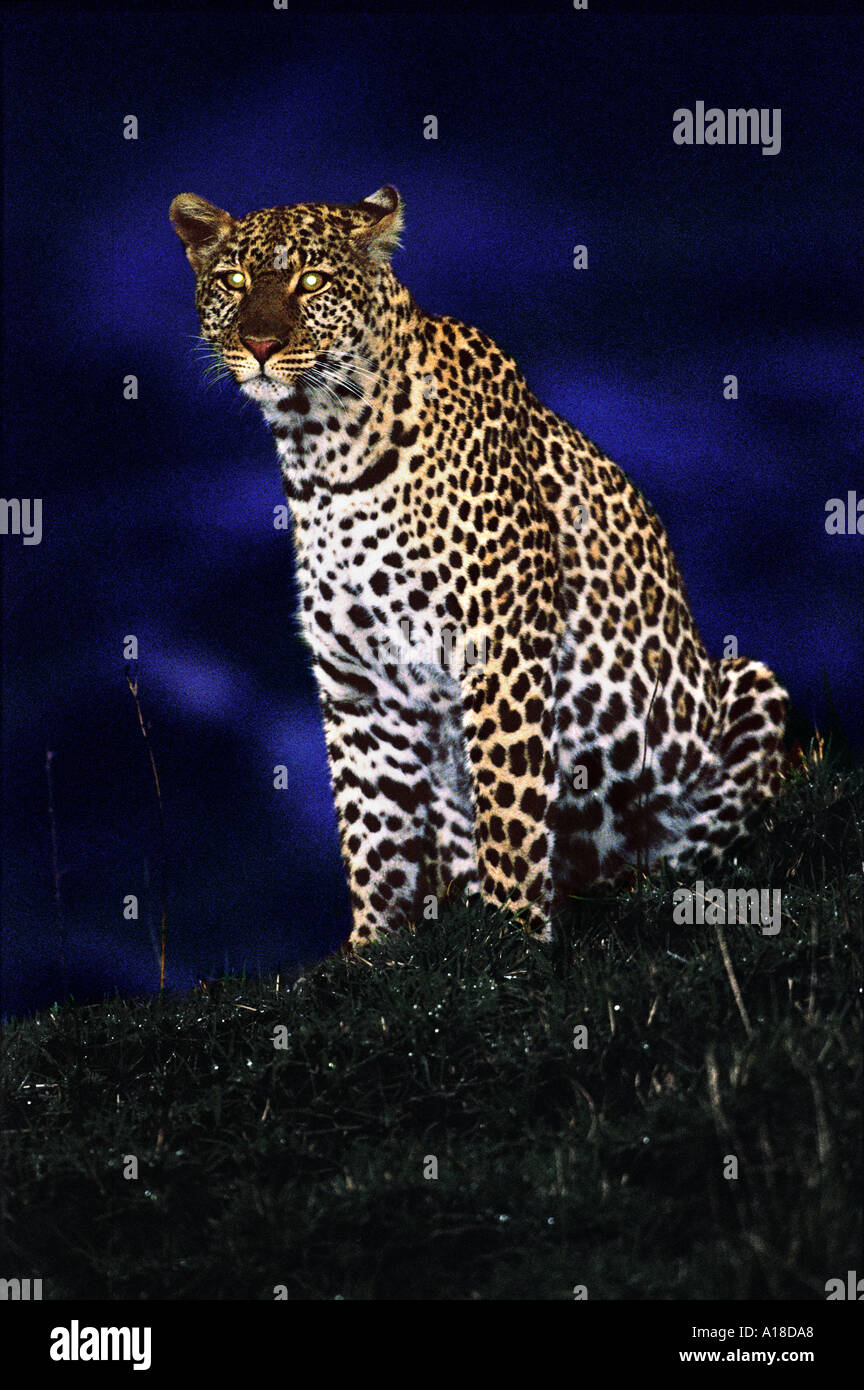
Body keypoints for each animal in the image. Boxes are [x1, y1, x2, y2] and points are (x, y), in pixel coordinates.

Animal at [170, 185, 788, 947]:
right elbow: (371, 831)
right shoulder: (358, 684)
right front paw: (372, 949)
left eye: (310, 283)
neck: (322, 454)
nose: (259, 345)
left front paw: (514, 936)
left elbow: (509, 810)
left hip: (746, 689)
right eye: (232, 281)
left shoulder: (500, 652)